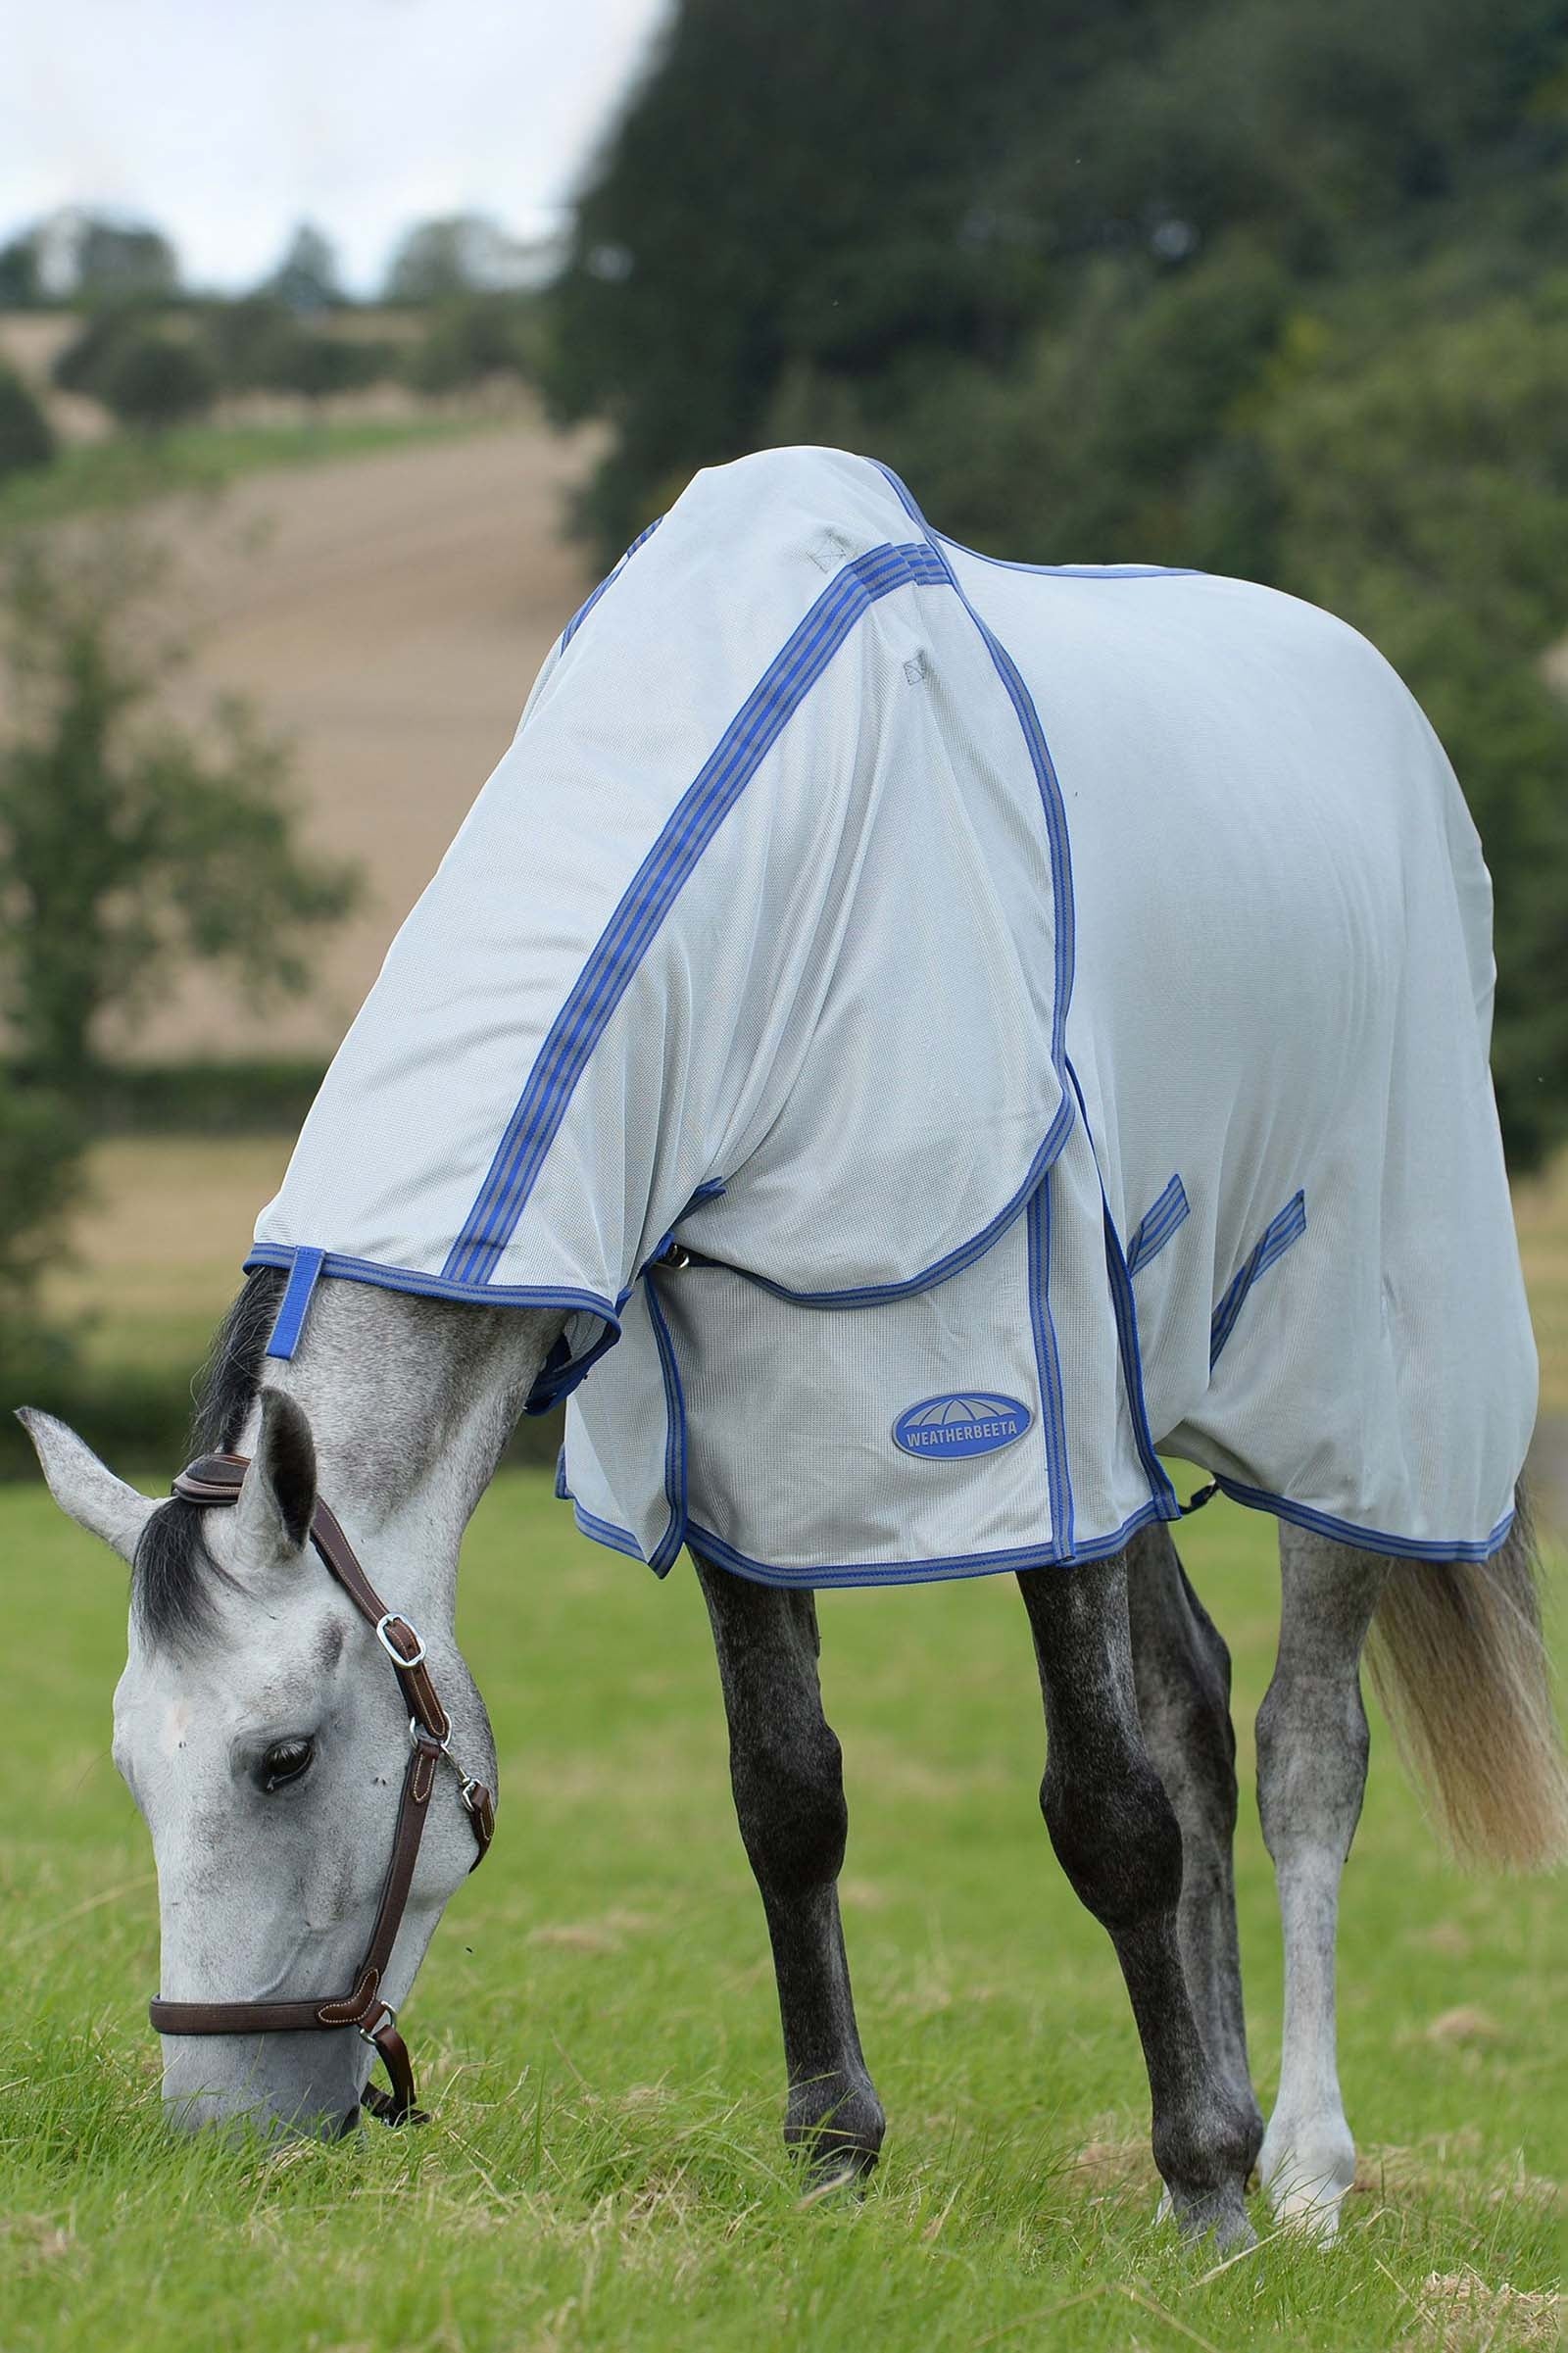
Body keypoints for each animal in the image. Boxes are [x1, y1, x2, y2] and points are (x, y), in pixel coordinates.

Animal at [20, 445, 1567, 2251]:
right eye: (132, 1765)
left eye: (280, 1760)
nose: (220, 2138)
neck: (774, 872)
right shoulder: (739, 1437)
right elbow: (789, 1793)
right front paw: (838, 2154)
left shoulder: (1020, 1408)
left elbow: (1104, 1809)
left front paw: (1203, 2188)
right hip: (1129, 1407)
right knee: (1193, 1710)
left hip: (1351, 1410)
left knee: (1303, 1749)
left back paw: (1304, 2169)